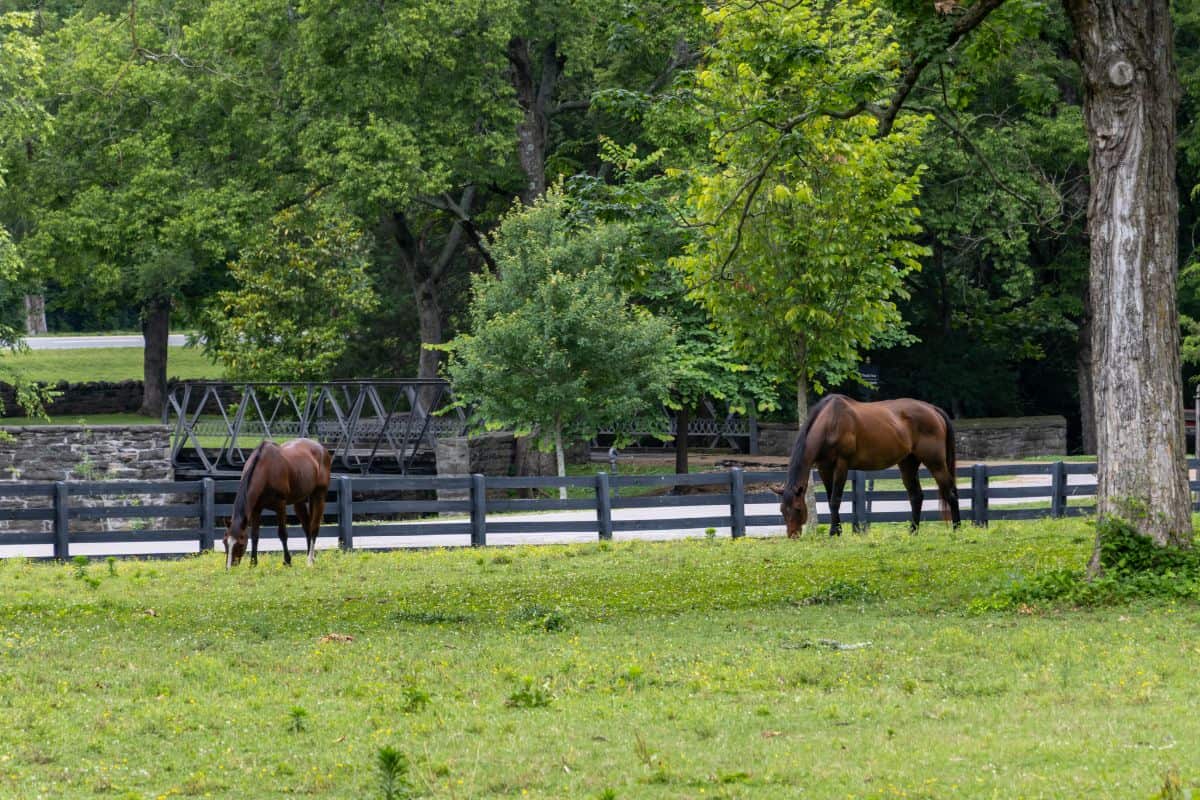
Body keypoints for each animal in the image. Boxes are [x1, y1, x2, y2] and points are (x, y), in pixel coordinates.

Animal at [224, 438, 333, 568]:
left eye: (240, 543)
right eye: (224, 542)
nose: (229, 568)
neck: (265, 470)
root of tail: (322, 449)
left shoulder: (280, 506)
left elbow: (282, 534)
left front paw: (287, 561)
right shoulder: (256, 509)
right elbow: (255, 536)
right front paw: (253, 563)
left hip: (319, 495)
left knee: (314, 528)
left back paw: (310, 561)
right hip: (299, 501)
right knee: (307, 527)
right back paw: (310, 557)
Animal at [773, 394, 960, 537]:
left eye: (798, 509)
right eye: (782, 510)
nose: (792, 536)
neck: (830, 423)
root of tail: (933, 410)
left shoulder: (841, 465)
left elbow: (835, 500)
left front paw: (834, 532)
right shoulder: (823, 467)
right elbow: (829, 498)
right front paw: (837, 531)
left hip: (935, 463)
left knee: (950, 493)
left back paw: (957, 529)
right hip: (908, 464)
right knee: (916, 496)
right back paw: (913, 531)